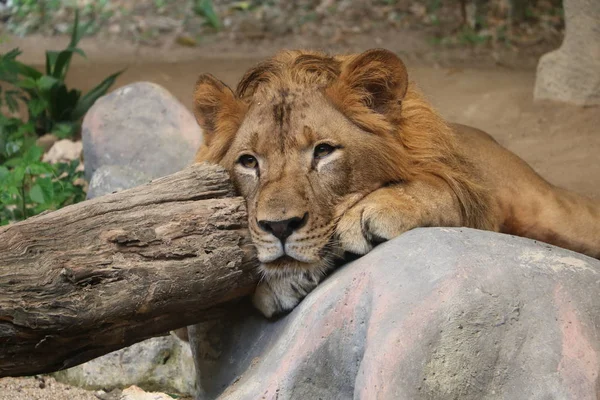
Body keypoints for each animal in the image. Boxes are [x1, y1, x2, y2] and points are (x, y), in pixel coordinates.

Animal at [193, 48, 600, 318]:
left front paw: (372, 211)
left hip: (553, 209)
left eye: (323, 151)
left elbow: (433, 189)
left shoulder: (469, 192)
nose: (279, 227)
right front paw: (279, 283)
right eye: (249, 162)